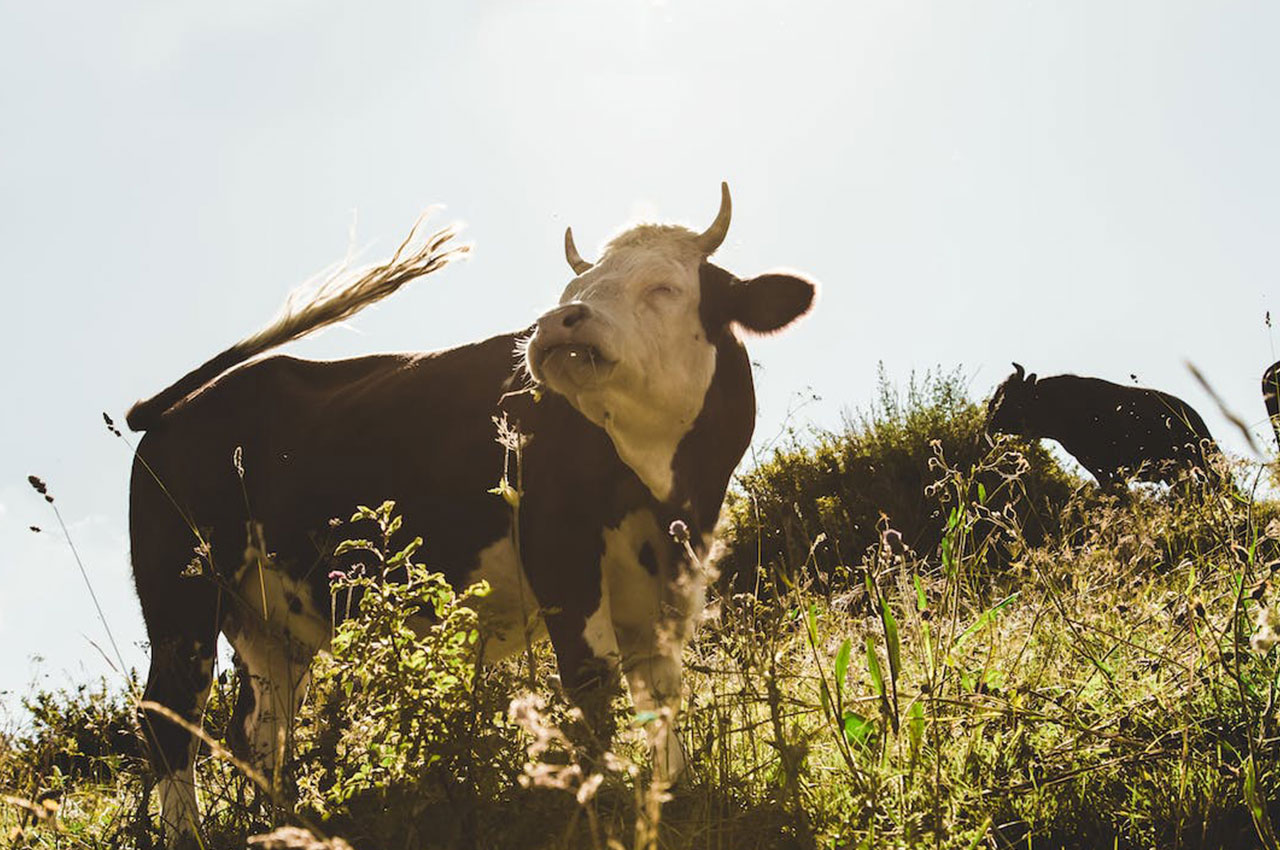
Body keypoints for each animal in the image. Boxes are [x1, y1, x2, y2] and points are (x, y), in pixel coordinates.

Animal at [124, 185, 814, 844]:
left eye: (664, 287)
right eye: (572, 290)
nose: (557, 322)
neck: (664, 487)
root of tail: (179, 408)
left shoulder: (672, 573)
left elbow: (661, 691)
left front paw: (670, 797)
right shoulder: (559, 550)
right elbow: (593, 681)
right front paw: (605, 802)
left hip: (270, 621)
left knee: (260, 732)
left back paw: (285, 823)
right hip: (181, 595)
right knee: (170, 719)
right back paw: (192, 835)